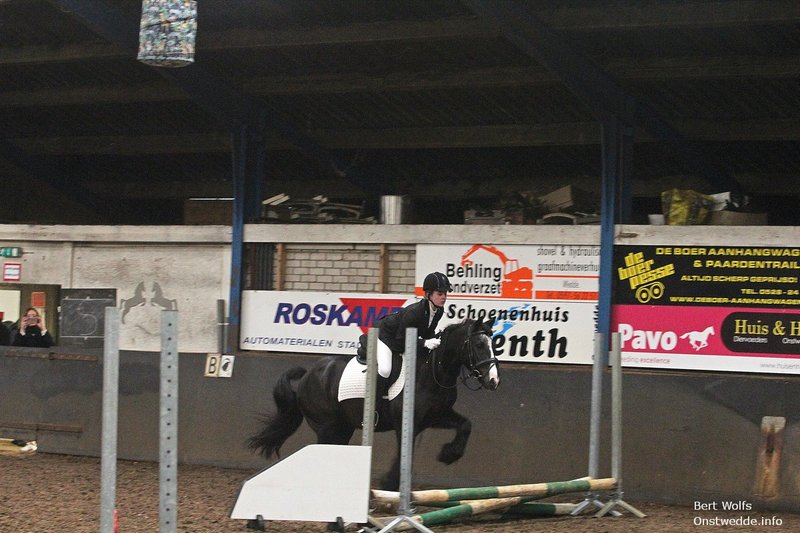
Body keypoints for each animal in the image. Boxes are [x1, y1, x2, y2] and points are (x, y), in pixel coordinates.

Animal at [247, 318, 501, 491]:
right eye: (479, 344)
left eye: (493, 344)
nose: (494, 381)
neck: (433, 371)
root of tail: (307, 376)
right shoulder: (405, 423)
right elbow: (403, 454)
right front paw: (390, 484)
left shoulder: (437, 416)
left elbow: (465, 425)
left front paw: (449, 454)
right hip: (327, 427)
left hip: (342, 428)